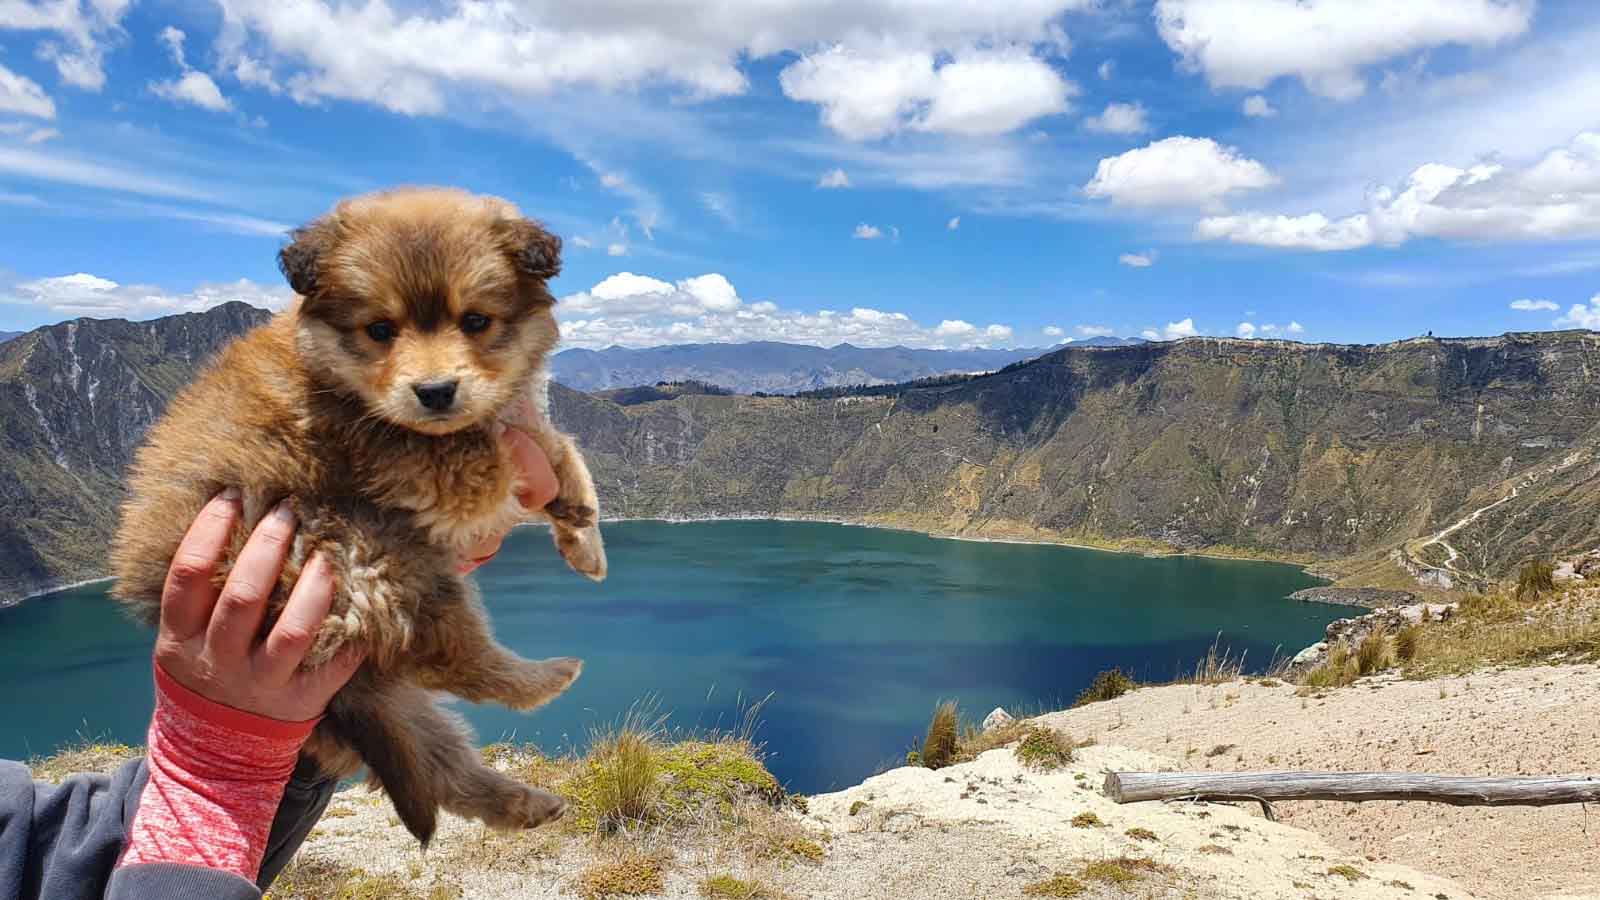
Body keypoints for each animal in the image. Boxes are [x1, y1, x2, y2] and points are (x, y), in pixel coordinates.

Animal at [108, 185, 604, 845]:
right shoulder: (437, 471)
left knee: (438, 762)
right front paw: (564, 502)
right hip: (372, 554)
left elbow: (554, 440)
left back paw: (522, 802)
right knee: (455, 662)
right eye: (380, 329)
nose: (436, 392)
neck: (337, 377)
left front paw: (581, 528)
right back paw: (545, 677)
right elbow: (525, 439)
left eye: (476, 321)